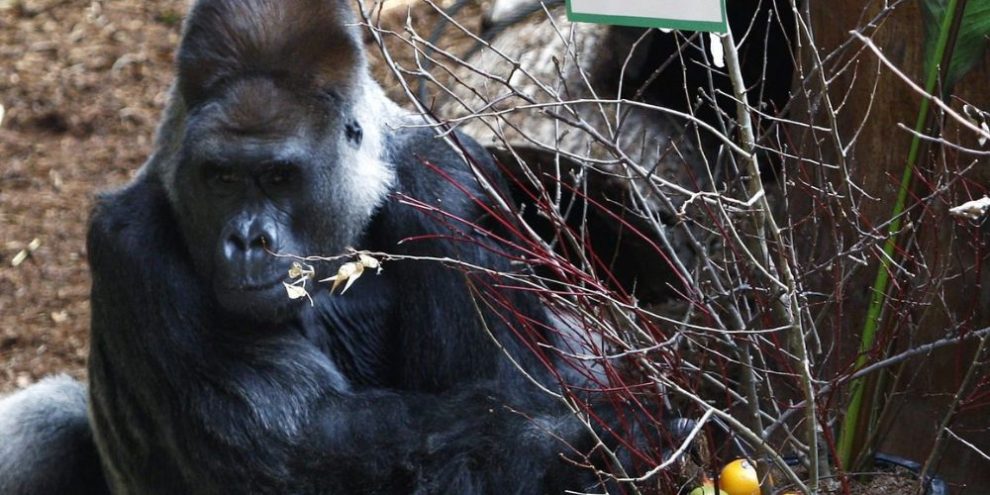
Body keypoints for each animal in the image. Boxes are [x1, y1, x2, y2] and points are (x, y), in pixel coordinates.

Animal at [0, 0, 628, 494]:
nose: (247, 238)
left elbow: (508, 398)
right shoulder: (132, 241)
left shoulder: (454, 192)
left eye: (279, 177)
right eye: (220, 177)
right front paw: (586, 430)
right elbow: (301, 446)